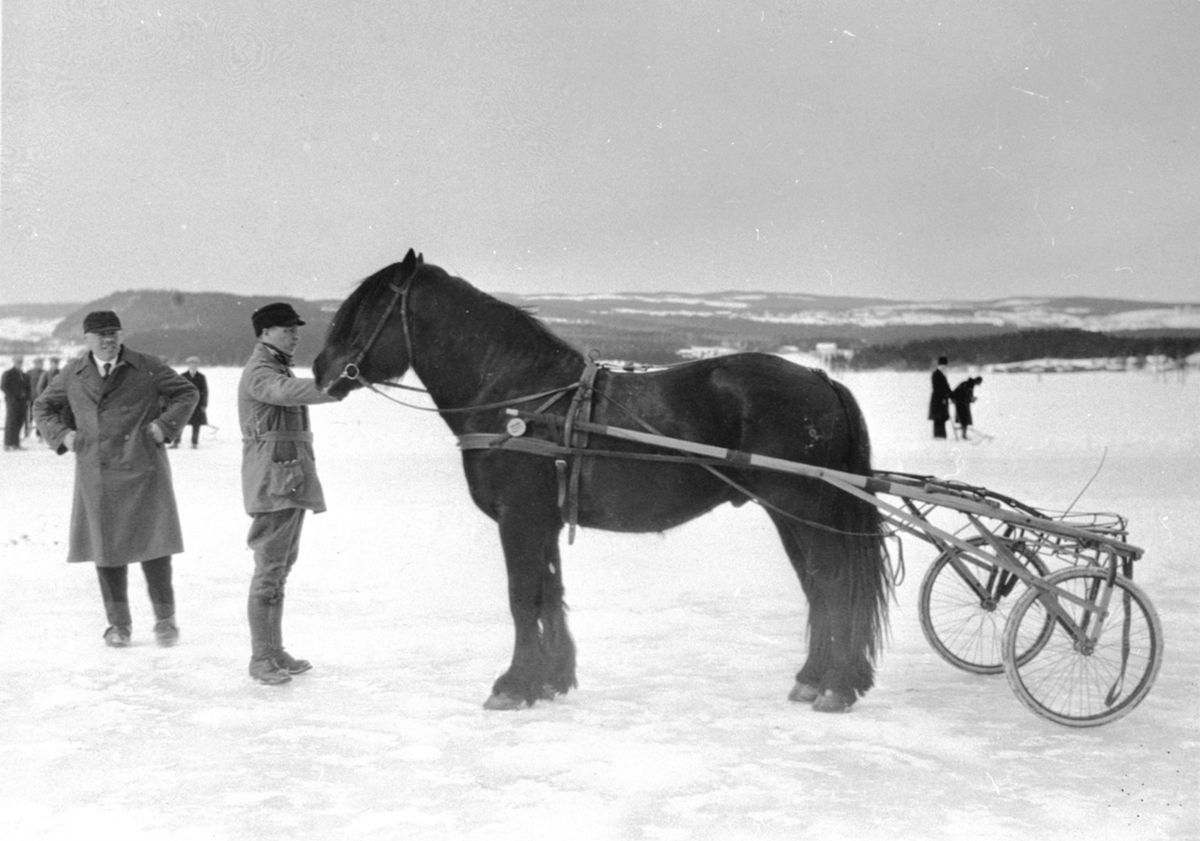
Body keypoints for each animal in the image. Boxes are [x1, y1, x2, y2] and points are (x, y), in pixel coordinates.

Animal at [312, 247, 892, 710]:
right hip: (789, 513)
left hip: (805, 508)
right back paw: (814, 678)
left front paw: (514, 685)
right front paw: (550, 680)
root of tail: (819, 378)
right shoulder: (541, 522)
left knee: (836, 586)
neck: (518, 397)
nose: (319, 370)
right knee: (819, 587)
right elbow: (549, 593)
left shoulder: (519, 519)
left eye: (364, 312)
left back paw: (837, 684)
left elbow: (523, 597)